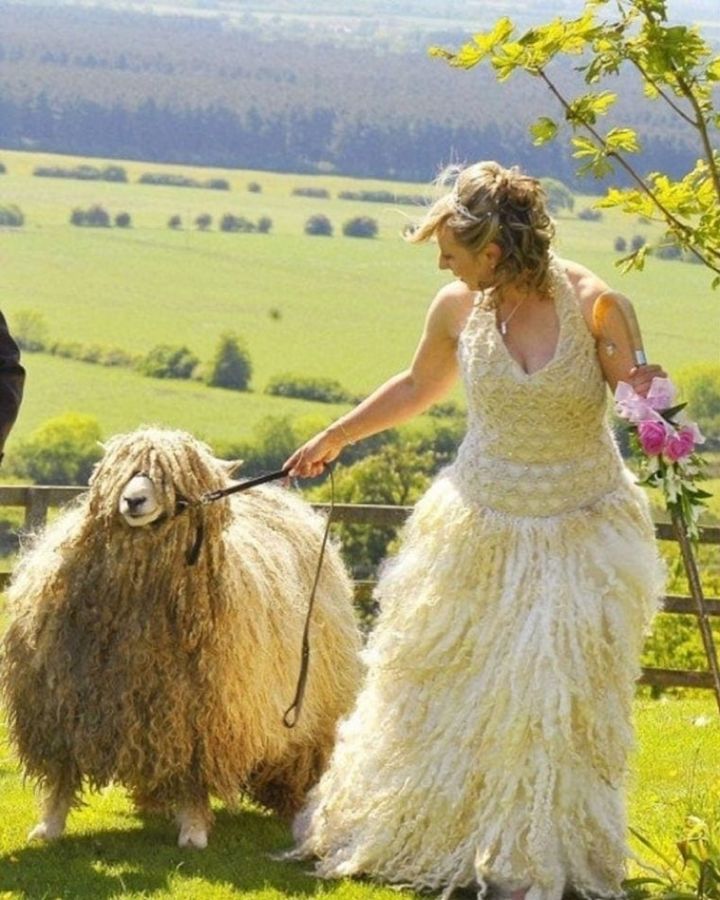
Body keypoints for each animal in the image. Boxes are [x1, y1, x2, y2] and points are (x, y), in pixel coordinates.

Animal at [0, 428, 360, 852]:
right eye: (123, 470)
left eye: (172, 478)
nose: (133, 500)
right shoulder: (64, 703)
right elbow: (61, 772)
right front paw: (49, 825)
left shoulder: (200, 715)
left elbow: (195, 777)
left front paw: (193, 828)